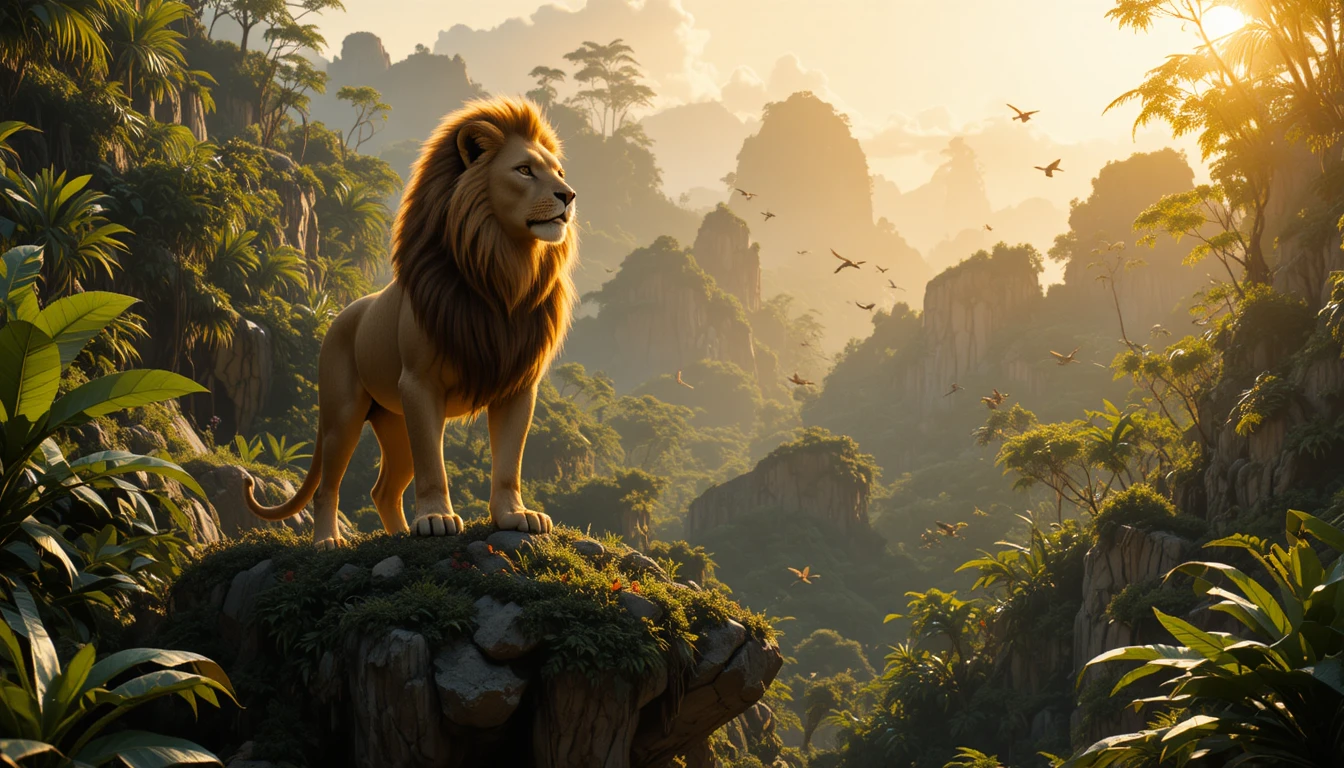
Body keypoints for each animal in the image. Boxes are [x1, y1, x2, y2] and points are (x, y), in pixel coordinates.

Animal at [243, 96, 578, 548]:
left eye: (558, 173)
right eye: (524, 170)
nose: (569, 195)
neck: (502, 273)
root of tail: (340, 314)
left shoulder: (518, 385)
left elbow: (509, 462)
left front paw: (515, 516)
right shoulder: (420, 384)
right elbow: (433, 467)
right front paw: (436, 518)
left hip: (395, 422)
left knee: (383, 490)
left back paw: (400, 534)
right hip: (343, 414)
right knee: (329, 486)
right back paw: (328, 540)